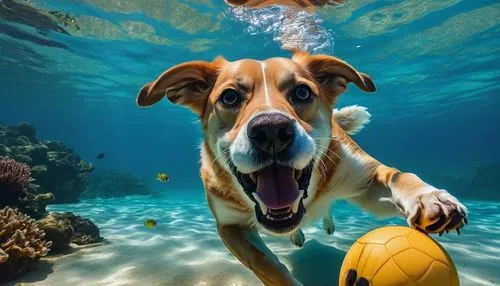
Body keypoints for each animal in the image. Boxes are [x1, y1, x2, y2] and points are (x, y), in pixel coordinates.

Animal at [135, 52, 466, 286]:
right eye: (229, 97)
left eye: (302, 93)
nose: (270, 130)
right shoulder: (229, 227)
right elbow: (266, 265)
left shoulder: (367, 182)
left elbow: (399, 175)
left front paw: (430, 198)